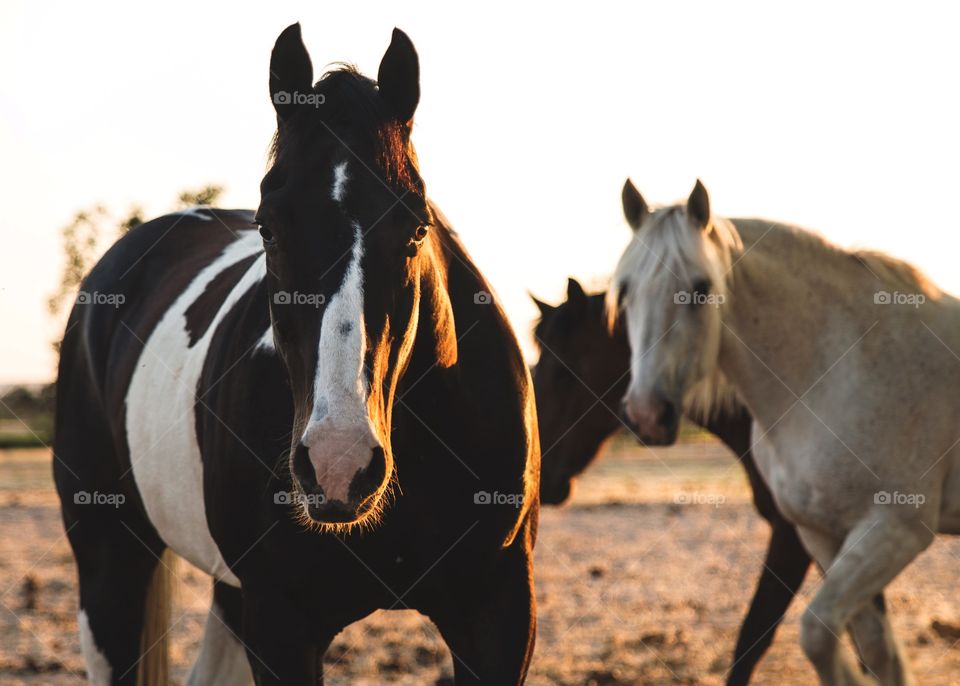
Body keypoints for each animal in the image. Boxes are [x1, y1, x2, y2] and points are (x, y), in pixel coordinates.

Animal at [53, 24, 539, 685]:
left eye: (416, 227)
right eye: (268, 228)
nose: (339, 462)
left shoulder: (498, 614)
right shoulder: (280, 622)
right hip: (110, 561)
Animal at [610, 178, 960, 685]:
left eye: (700, 289)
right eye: (625, 291)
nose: (646, 415)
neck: (831, 370)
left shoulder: (898, 529)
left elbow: (817, 632)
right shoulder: (822, 534)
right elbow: (875, 650)